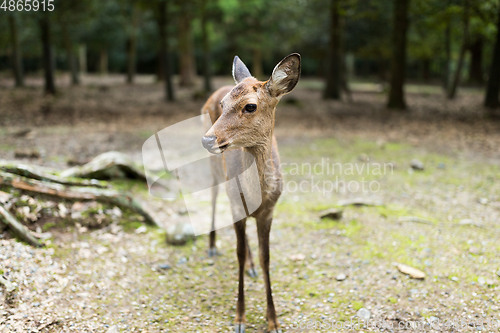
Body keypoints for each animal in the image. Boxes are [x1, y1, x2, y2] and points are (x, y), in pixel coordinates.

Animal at [200, 53, 300, 332]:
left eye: (251, 106)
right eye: (223, 105)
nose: (207, 139)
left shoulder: (269, 211)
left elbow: (267, 258)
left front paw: (273, 320)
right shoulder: (236, 205)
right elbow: (239, 253)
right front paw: (240, 318)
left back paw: (251, 267)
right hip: (216, 171)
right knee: (213, 197)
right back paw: (212, 246)